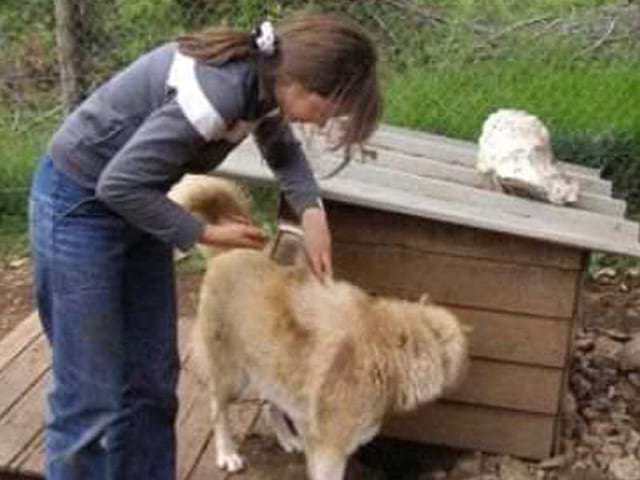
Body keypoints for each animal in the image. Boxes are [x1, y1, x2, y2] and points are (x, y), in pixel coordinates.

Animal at [170, 174, 470, 480]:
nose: (465, 374)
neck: (386, 349)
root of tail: (235, 251)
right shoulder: (330, 453)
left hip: (273, 367)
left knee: (270, 403)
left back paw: (287, 437)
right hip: (233, 377)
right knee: (218, 408)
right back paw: (227, 453)